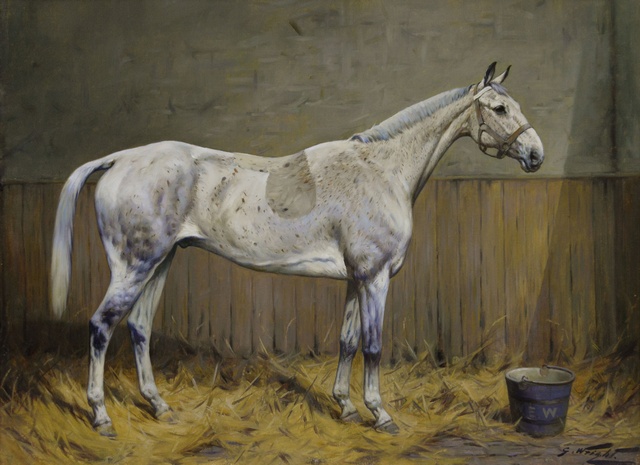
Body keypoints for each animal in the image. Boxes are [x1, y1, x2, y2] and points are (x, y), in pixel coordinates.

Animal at [51, 62, 543, 436]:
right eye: (499, 108)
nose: (536, 154)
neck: (382, 171)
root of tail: (120, 159)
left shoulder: (355, 278)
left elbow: (347, 341)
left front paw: (346, 407)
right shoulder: (375, 277)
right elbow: (373, 346)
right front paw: (380, 414)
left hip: (161, 262)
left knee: (138, 327)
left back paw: (159, 406)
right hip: (134, 266)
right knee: (101, 327)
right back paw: (101, 418)